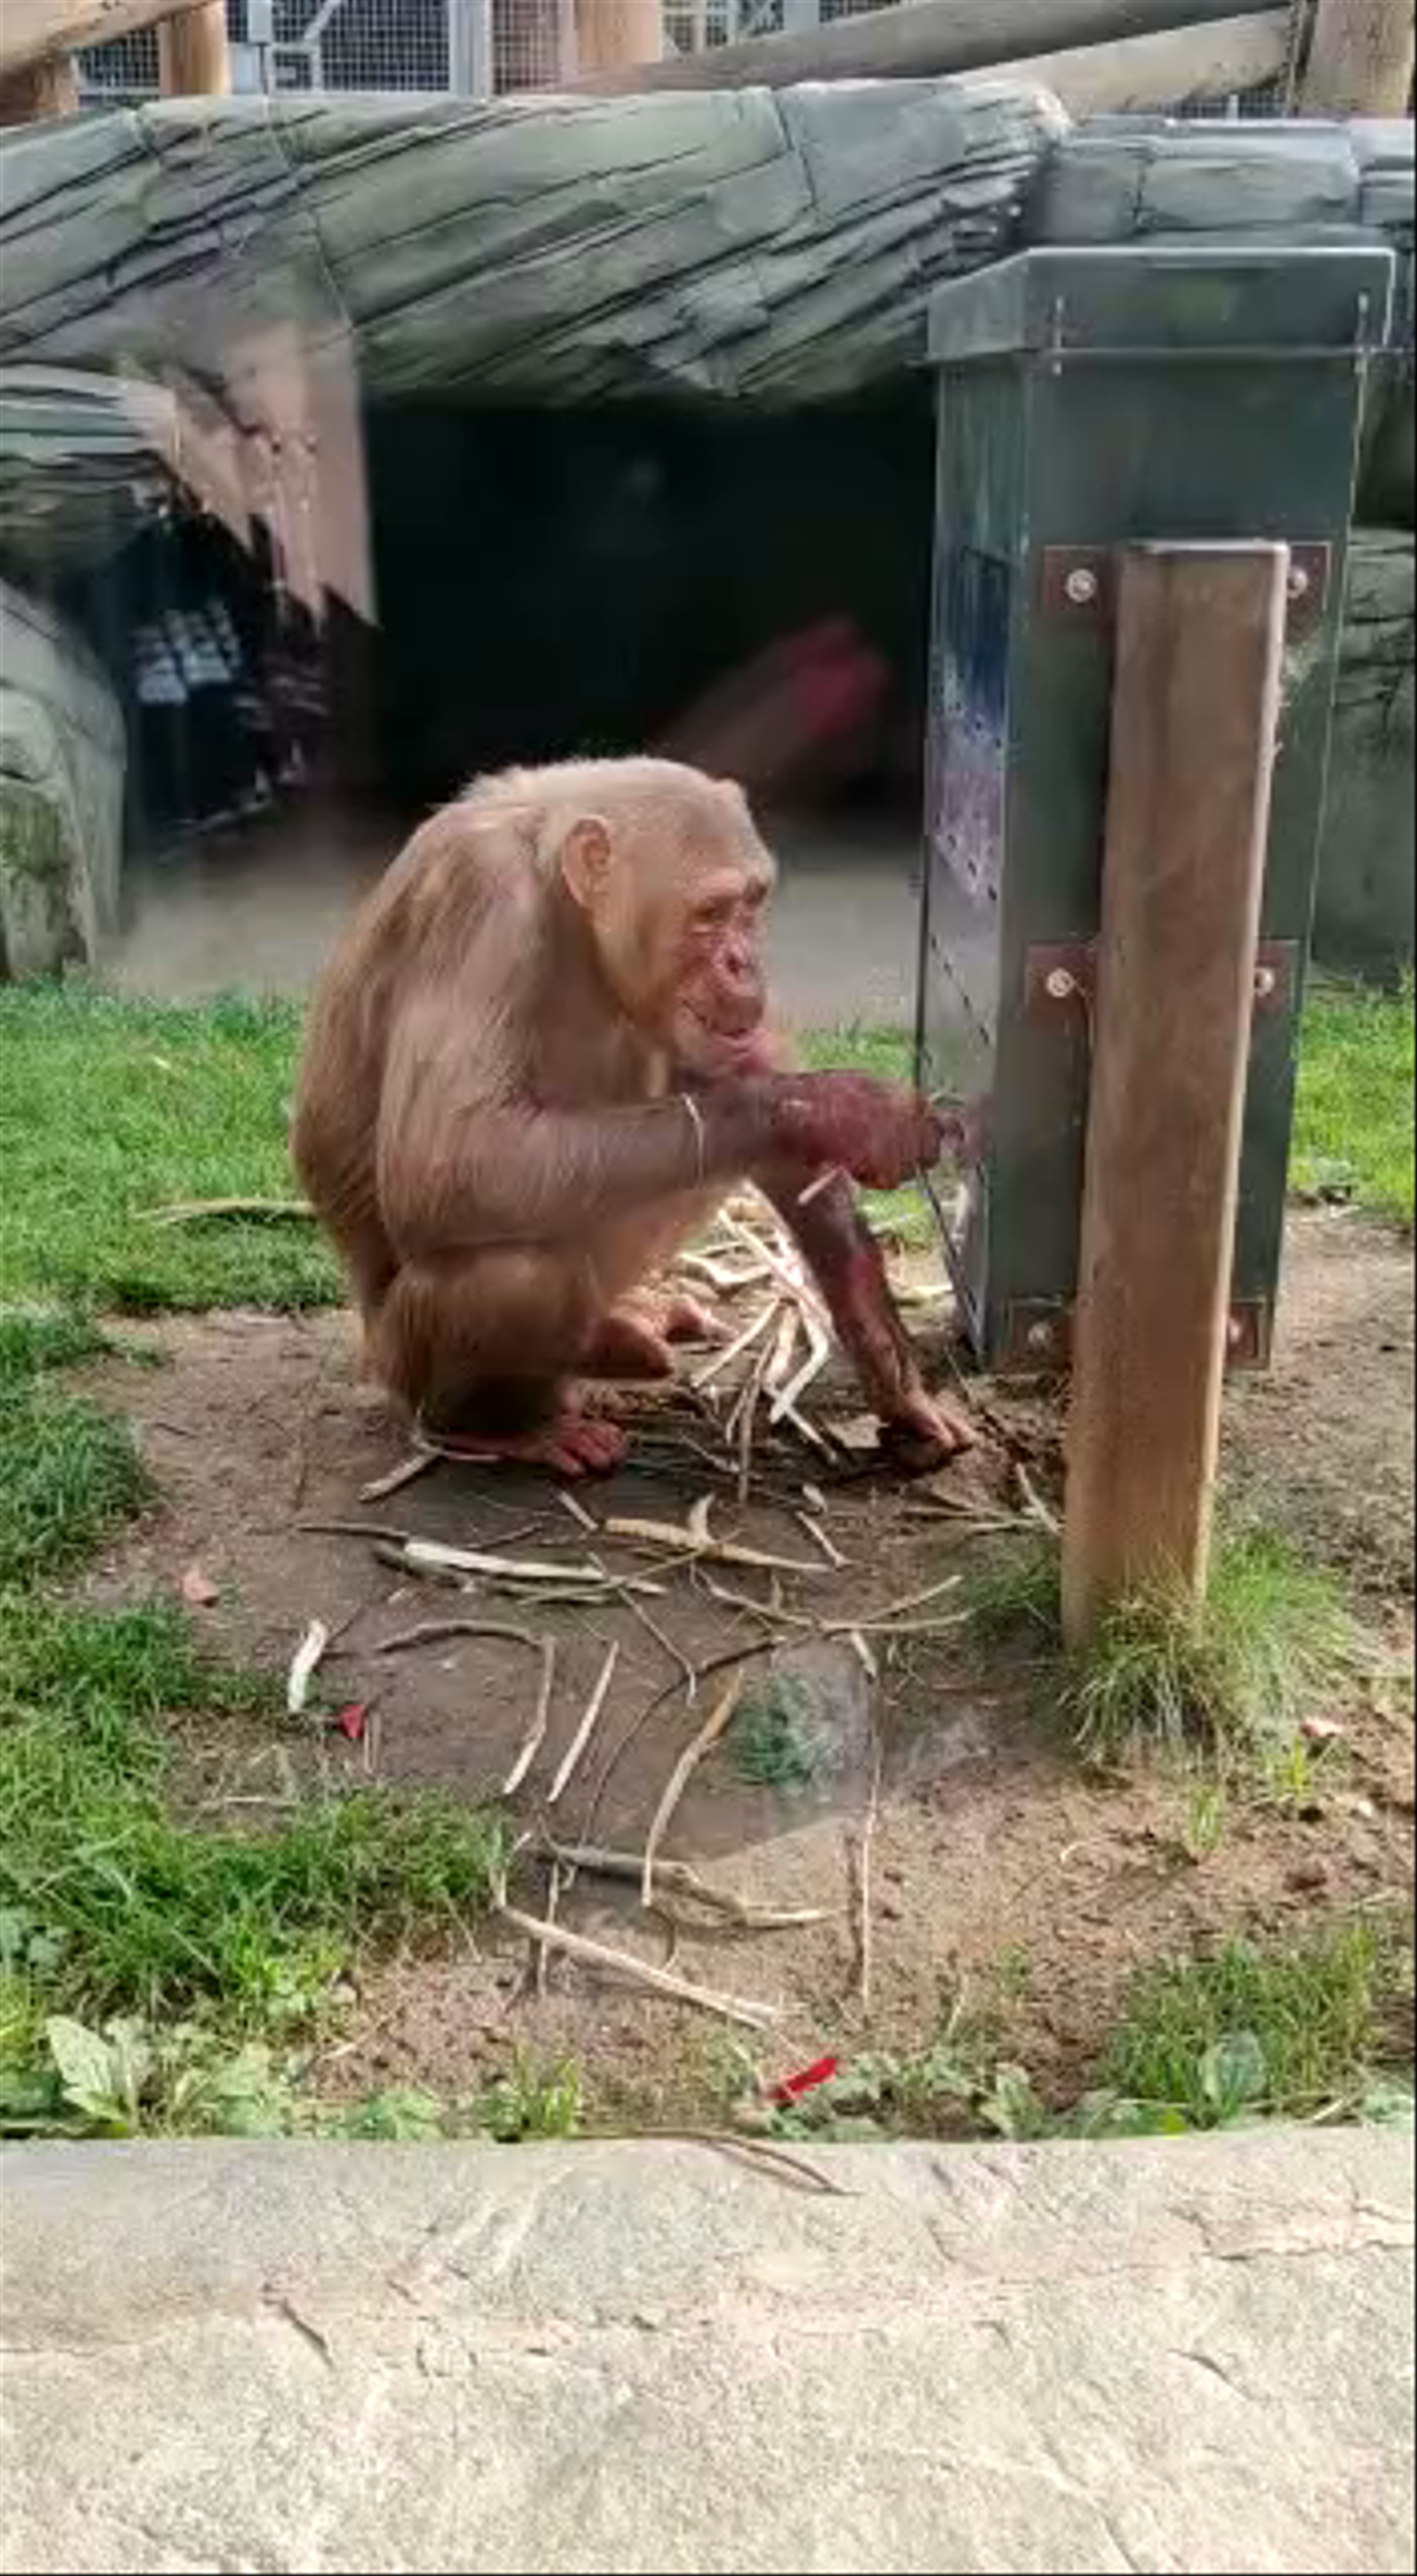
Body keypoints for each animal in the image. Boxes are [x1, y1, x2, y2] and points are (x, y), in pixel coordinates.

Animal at [293, 757, 976, 1477]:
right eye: (710, 913)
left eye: (753, 903)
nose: (744, 962)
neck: (564, 901)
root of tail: (373, 1353)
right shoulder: (483, 905)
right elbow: (447, 1155)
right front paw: (843, 1109)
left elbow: (766, 1104)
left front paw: (893, 1370)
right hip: (403, 1359)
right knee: (523, 1278)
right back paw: (506, 1427)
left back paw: (622, 1327)